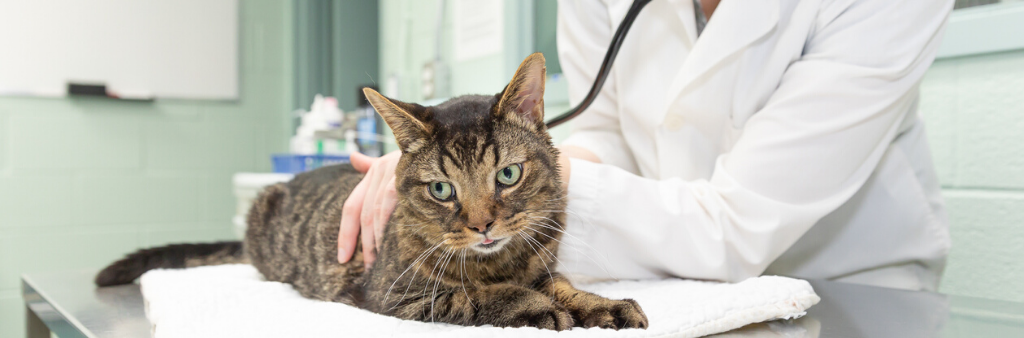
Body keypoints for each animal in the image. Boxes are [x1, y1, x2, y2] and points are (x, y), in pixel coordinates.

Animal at [99, 53, 651, 329]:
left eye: (508, 176)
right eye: (441, 188)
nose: (482, 226)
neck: (499, 260)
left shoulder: (544, 265)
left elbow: (561, 285)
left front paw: (600, 304)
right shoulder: (396, 295)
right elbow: (479, 295)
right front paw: (535, 307)